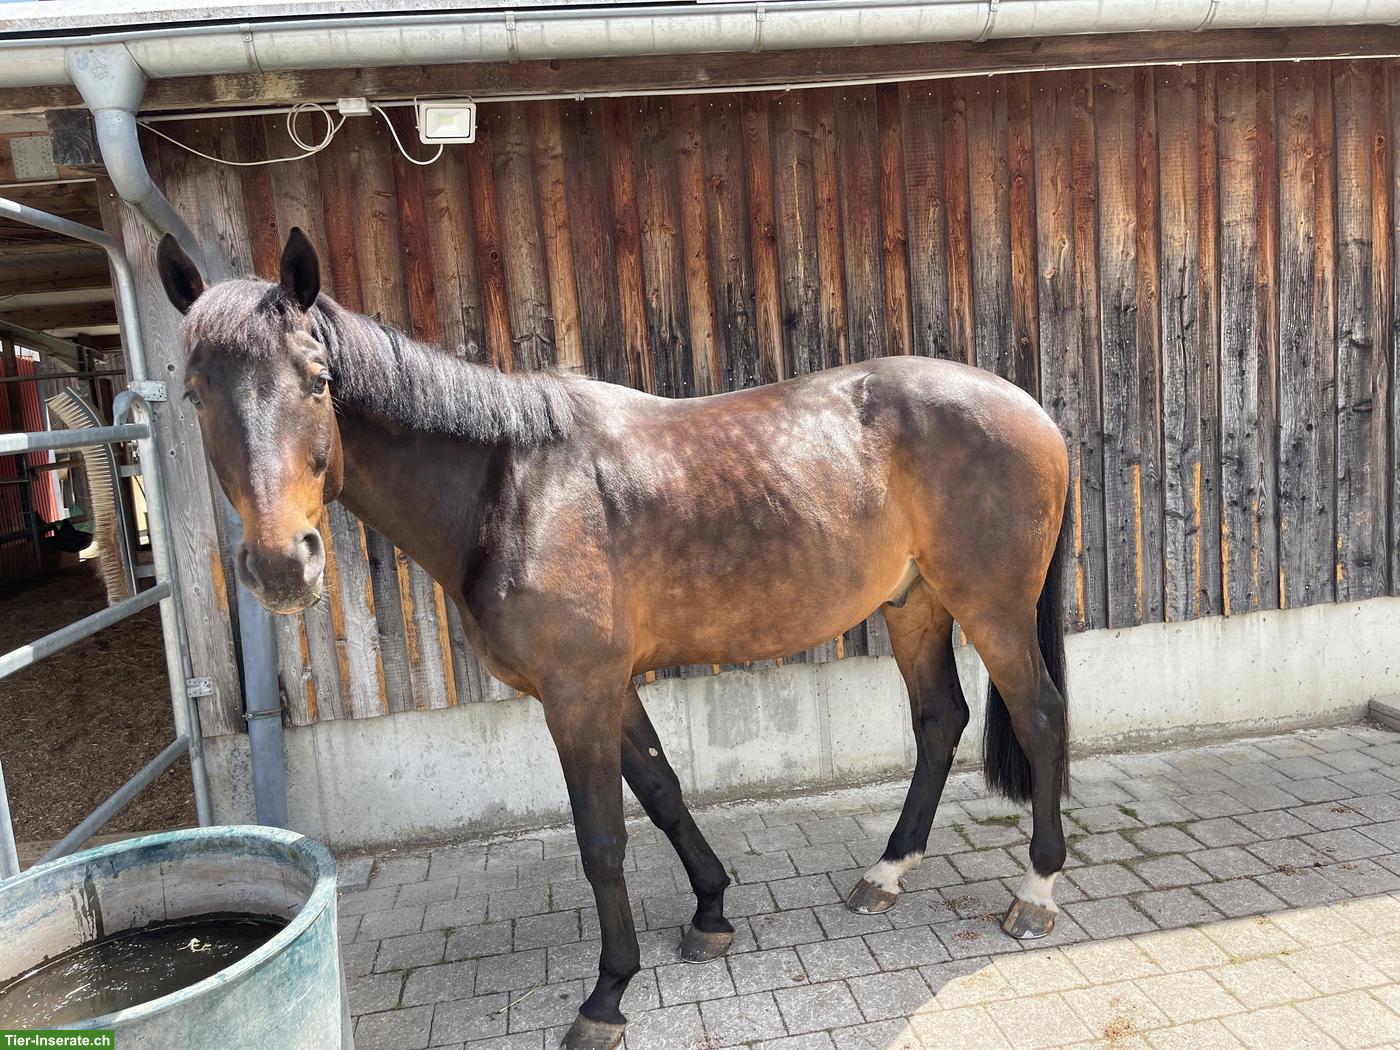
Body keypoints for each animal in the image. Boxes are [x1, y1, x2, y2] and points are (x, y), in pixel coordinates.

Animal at [157, 228, 1071, 1050]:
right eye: (194, 395)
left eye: (317, 382)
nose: (283, 564)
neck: (510, 491)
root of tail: (1029, 409)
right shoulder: (607, 687)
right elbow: (663, 791)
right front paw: (710, 912)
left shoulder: (576, 696)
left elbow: (602, 840)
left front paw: (607, 996)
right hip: (915, 603)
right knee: (940, 721)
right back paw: (887, 872)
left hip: (991, 608)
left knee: (1041, 717)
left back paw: (1037, 889)